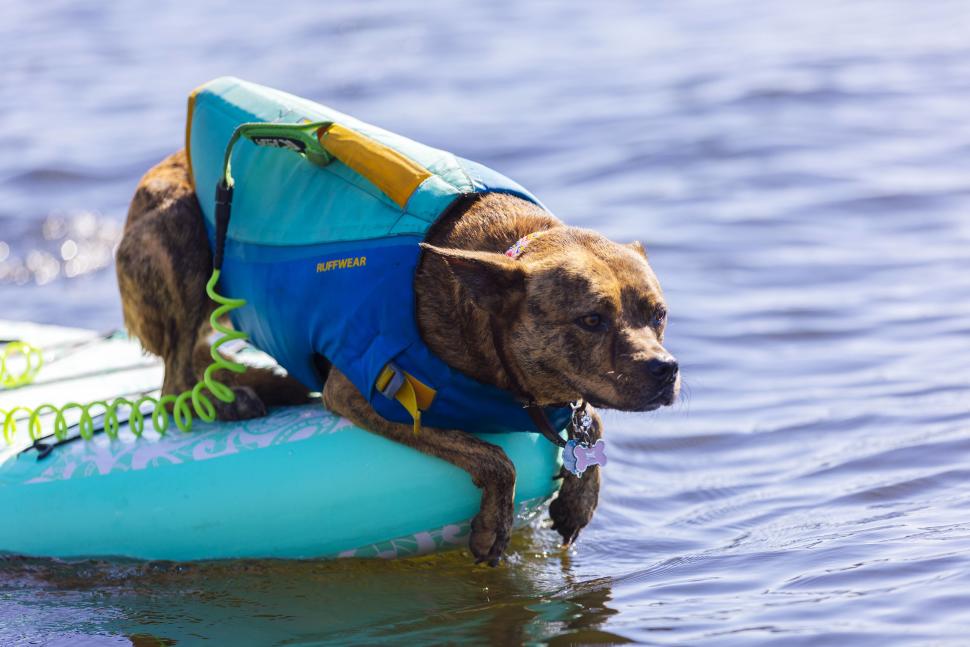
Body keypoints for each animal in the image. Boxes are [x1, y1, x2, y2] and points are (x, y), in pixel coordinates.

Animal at [117, 149, 676, 564]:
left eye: (659, 315)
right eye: (591, 320)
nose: (666, 370)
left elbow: (590, 421)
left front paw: (580, 499)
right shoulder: (361, 393)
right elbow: (493, 457)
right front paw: (492, 526)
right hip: (182, 239)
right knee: (175, 380)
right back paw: (229, 399)